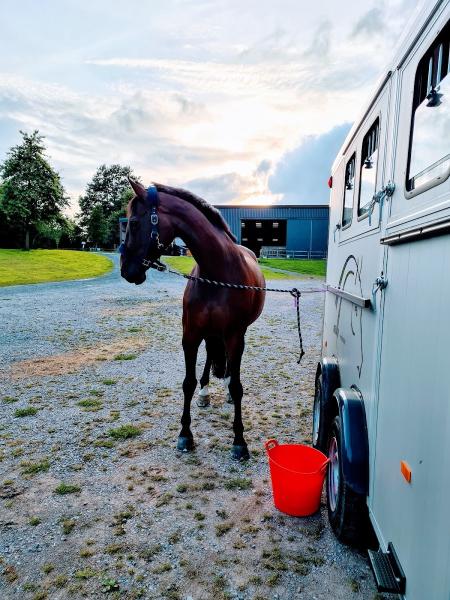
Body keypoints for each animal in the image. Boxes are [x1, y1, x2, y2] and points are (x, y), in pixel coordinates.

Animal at [121, 178, 266, 460]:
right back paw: (205, 392)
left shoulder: (234, 336)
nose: (125, 270)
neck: (218, 272)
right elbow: (187, 383)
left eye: (133, 222)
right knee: (210, 357)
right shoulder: (190, 335)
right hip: (209, 333)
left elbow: (238, 387)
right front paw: (185, 435)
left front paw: (239, 441)